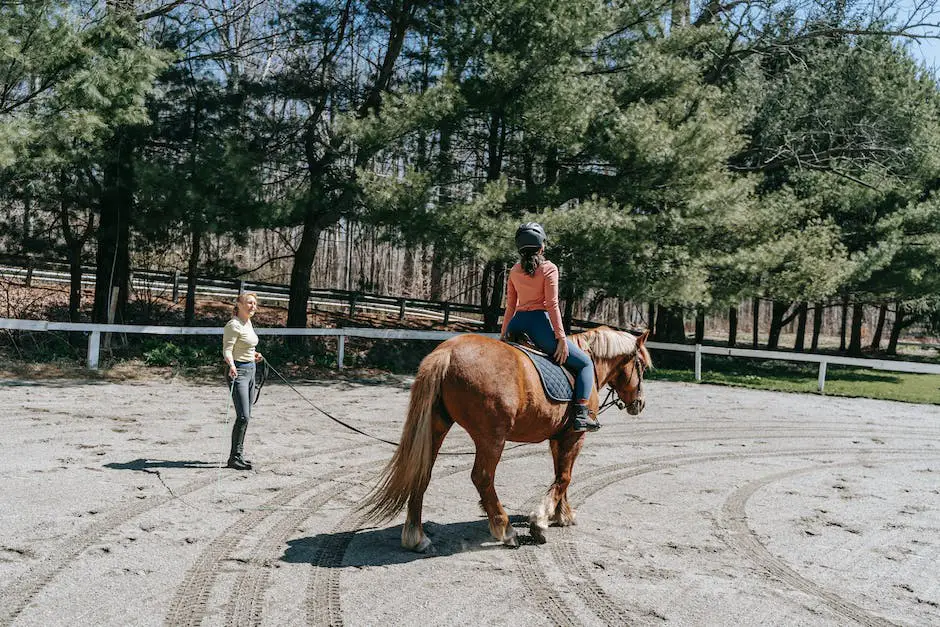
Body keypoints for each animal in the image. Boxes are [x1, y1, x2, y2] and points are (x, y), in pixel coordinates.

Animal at [356, 326, 648, 552]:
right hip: (492, 438)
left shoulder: (559, 437)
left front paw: (561, 514)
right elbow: (565, 477)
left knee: (422, 473)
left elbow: (560, 474)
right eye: (642, 366)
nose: (640, 403)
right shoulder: (576, 435)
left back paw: (417, 537)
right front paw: (541, 520)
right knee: (483, 477)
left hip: (437, 428)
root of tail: (446, 352)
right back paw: (505, 529)